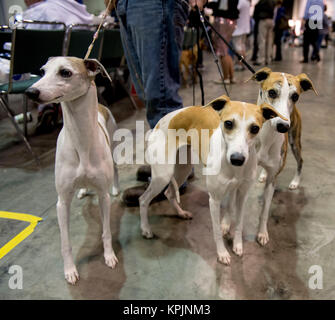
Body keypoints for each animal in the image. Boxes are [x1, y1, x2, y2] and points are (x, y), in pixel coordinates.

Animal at [26, 56, 121, 284]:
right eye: (42, 71)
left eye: (65, 72)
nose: (30, 92)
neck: (81, 139)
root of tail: (102, 106)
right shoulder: (62, 203)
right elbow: (65, 243)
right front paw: (70, 270)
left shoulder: (103, 197)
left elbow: (106, 232)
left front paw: (109, 256)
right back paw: (83, 190)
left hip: (113, 149)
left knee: (116, 170)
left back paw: (116, 188)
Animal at [139, 95, 286, 264]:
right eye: (228, 123)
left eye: (255, 128)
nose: (237, 159)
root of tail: (162, 120)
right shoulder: (214, 200)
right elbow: (216, 230)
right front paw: (222, 253)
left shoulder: (242, 194)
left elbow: (239, 222)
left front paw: (237, 245)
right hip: (162, 176)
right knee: (143, 199)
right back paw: (146, 230)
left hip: (183, 169)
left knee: (169, 193)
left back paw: (181, 213)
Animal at [249, 66, 318, 244]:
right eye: (272, 92)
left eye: (295, 96)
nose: (283, 126)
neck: (266, 136)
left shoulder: (273, 180)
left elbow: (265, 211)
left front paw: (262, 234)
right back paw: (262, 174)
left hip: (295, 143)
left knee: (301, 161)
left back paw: (294, 182)